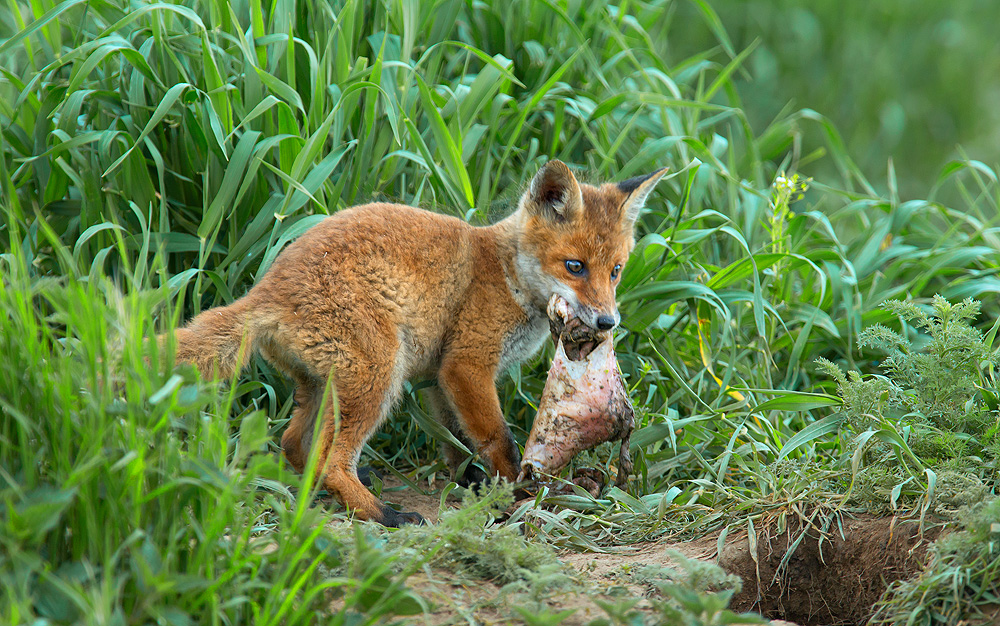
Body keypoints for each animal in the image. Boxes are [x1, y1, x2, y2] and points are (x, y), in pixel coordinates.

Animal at [176, 160, 668, 520]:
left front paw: (474, 484)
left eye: (616, 270)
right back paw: (383, 514)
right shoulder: (466, 364)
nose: (607, 322)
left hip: (323, 384)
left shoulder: (439, 378)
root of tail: (266, 290)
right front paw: (518, 491)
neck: (507, 274)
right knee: (331, 459)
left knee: (295, 443)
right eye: (574, 266)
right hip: (378, 376)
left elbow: (455, 444)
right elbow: (497, 439)